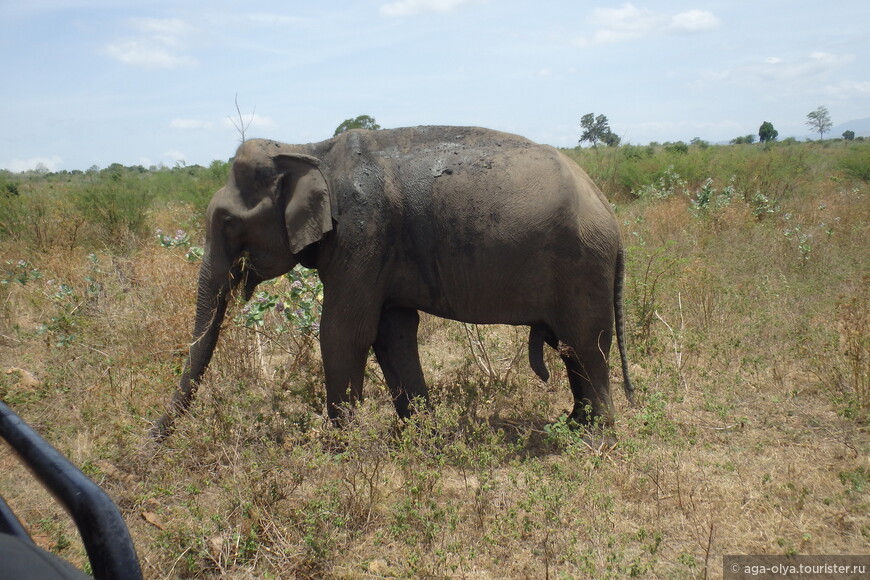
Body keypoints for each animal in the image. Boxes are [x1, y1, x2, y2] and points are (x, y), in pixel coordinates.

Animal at [153, 124, 632, 438]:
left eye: (228, 222)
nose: (153, 439)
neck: (307, 147)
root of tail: (608, 211)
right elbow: (392, 332)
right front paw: (419, 434)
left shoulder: (365, 229)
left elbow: (344, 332)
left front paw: (338, 448)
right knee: (570, 347)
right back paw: (573, 424)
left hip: (582, 265)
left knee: (586, 342)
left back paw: (595, 436)